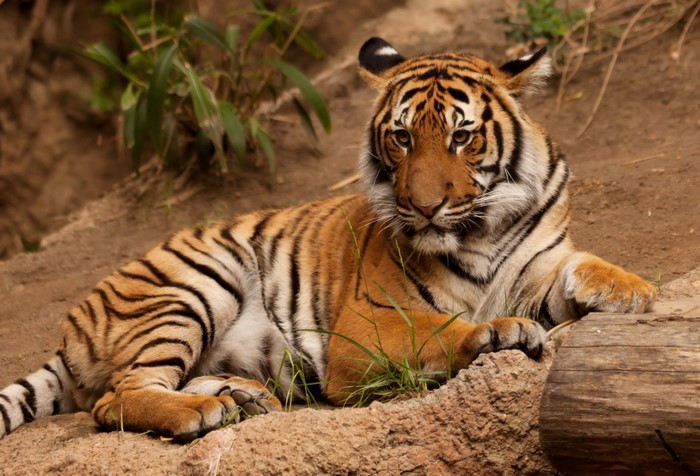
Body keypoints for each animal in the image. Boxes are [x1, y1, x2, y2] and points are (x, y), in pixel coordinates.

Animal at [0, 37, 656, 441]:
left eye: (462, 136)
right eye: (401, 137)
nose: (424, 207)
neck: (483, 225)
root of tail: (73, 327)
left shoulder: (539, 264)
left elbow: (582, 264)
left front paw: (633, 291)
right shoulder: (367, 323)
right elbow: (440, 328)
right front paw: (498, 332)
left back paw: (240, 398)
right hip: (193, 285)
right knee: (118, 396)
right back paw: (204, 411)